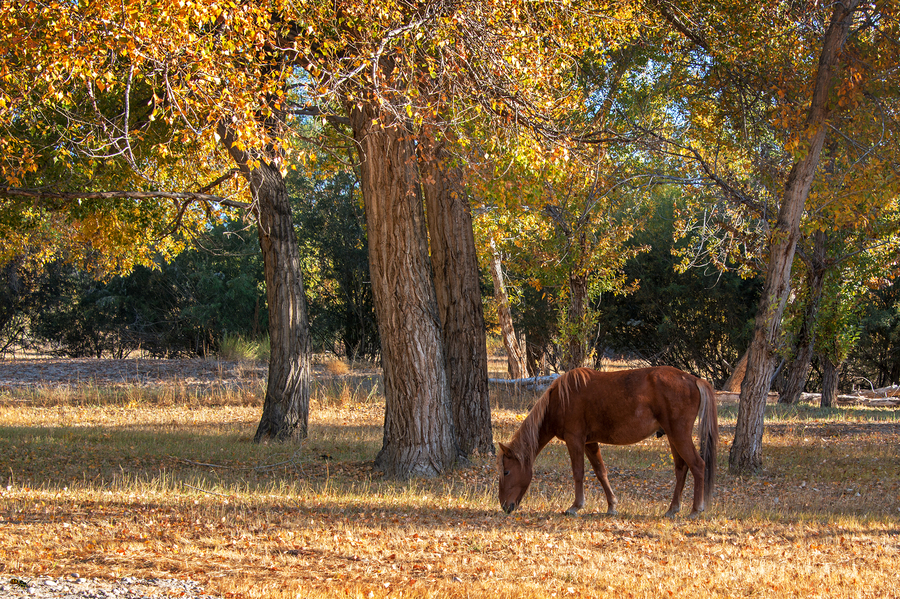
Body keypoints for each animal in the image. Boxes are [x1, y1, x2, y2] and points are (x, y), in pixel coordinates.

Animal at [500, 366, 716, 520]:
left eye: (506, 472)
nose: (504, 506)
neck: (560, 399)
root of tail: (694, 379)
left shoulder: (574, 439)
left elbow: (578, 473)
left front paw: (575, 506)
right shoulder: (590, 443)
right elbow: (601, 472)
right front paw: (612, 505)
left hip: (679, 435)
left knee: (697, 465)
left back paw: (696, 509)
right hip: (673, 437)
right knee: (681, 469)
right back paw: (673, 509)